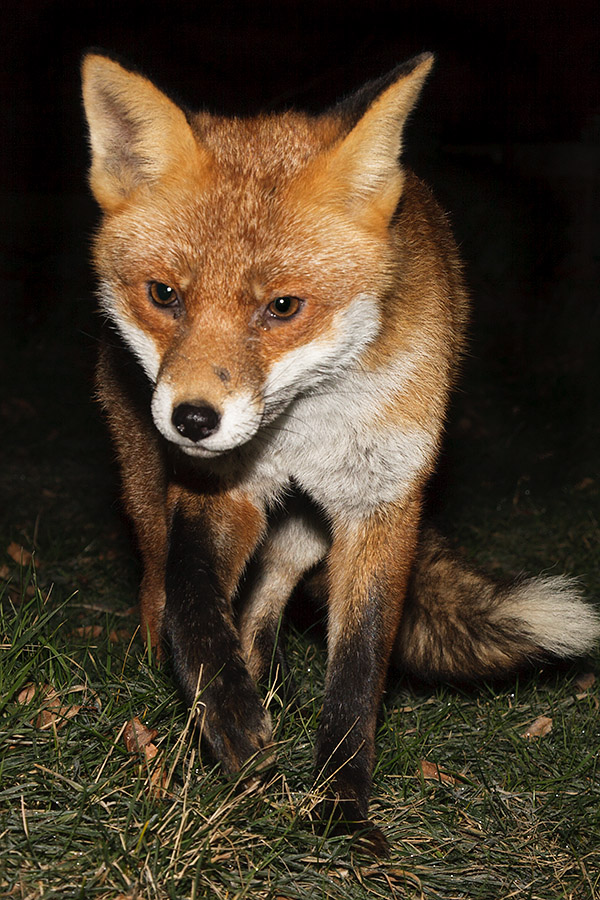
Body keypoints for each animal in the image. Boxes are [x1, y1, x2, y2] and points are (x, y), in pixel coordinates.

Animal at [81, 51, 600, 853]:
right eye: (164, 295)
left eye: (283, 307)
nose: (192, 420)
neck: (306, 427)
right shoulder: (219, 490)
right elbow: (195, 604)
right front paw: (226, 715)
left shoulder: (381, 506)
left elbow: (357, 668)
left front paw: (340, 808)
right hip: (152, 494)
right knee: (160, 587)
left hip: (306, 529)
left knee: (267, 597)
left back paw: (266, 677)